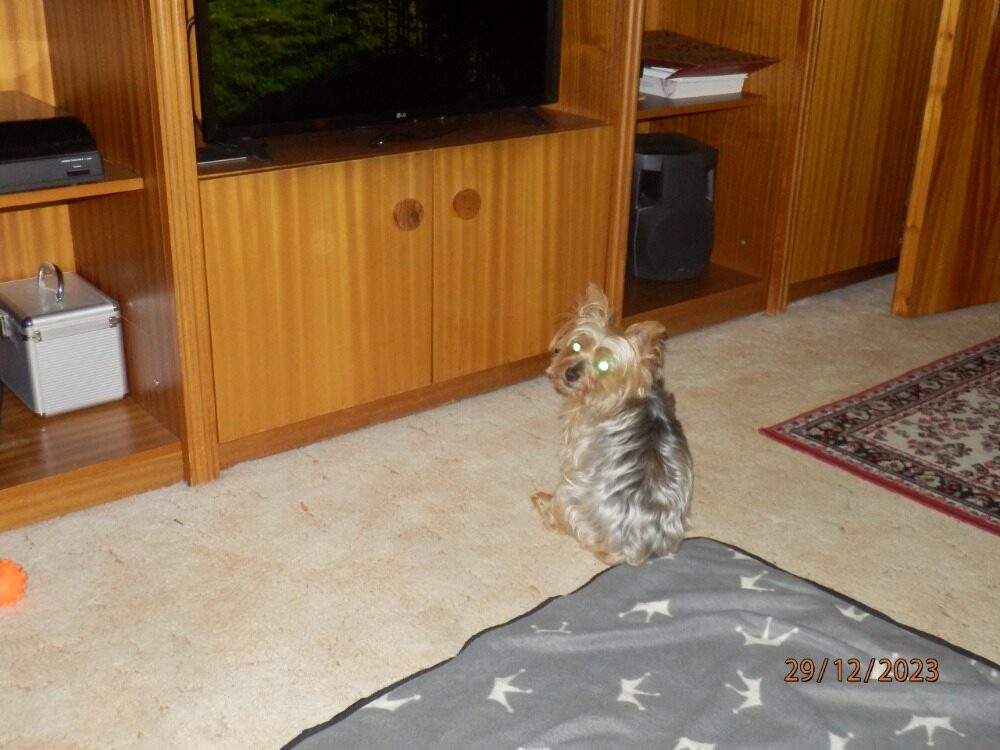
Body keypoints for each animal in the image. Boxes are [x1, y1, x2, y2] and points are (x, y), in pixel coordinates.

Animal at [532, 285, 693, 566]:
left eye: (604, 365)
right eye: (576, 345)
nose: (570, 374)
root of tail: (636, 548)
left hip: (570, 496)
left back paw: (544, 503)